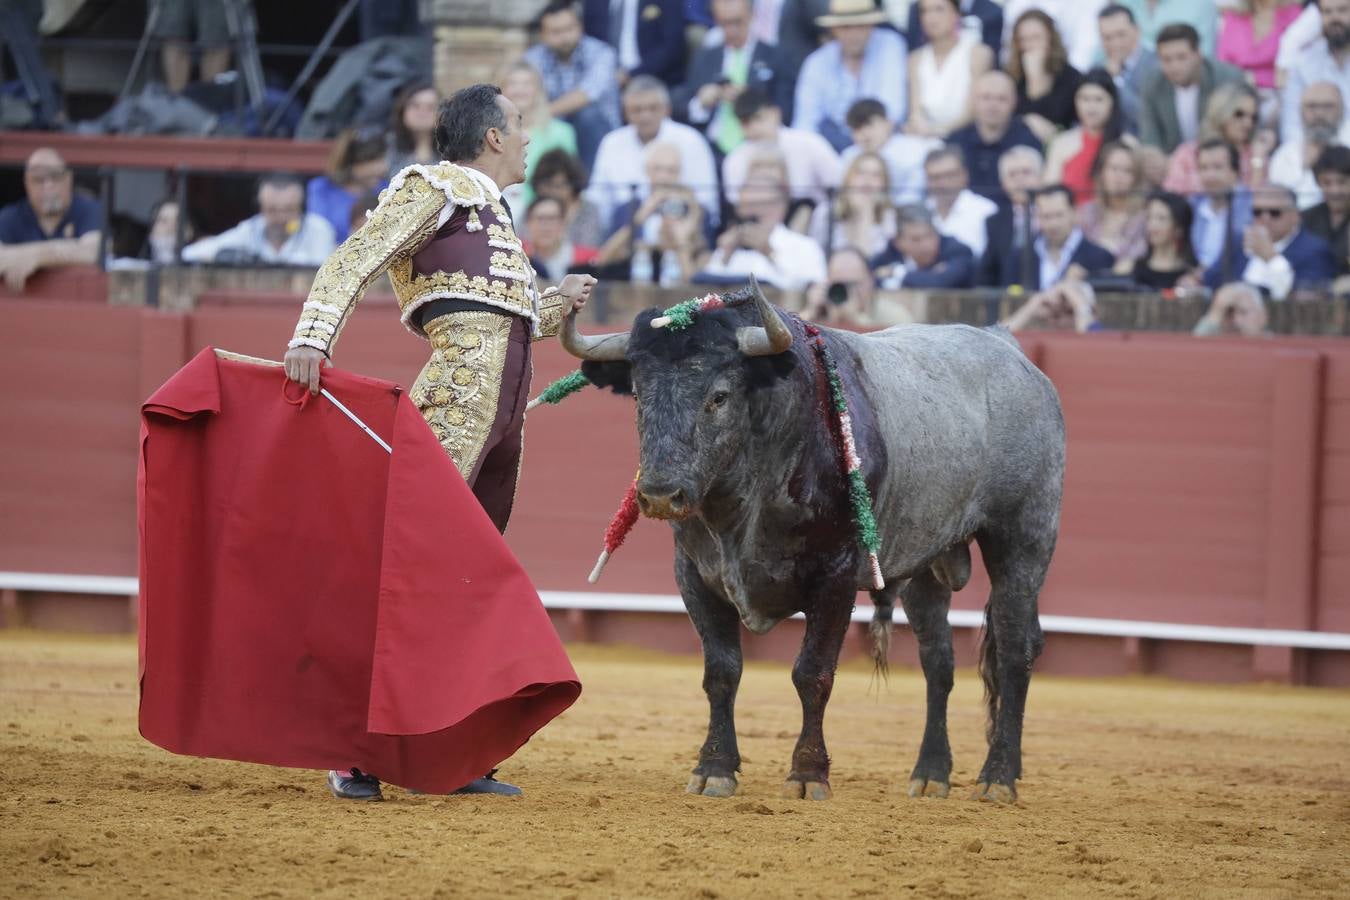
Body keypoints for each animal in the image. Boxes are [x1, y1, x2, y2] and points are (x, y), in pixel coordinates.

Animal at [558, 279, 1063, 804]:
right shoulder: (694, 573)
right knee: (938, 659)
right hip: (928, 561)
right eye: (638, 394)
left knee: (1014, 648)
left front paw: (807, 774)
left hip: (1023, 536)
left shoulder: (835, 576)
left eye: (719, 396)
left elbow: (812, 672)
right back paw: (931, 773)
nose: (660, 493)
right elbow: (722, 671)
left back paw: (998, 777)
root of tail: (1009, 348)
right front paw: (714, 768)